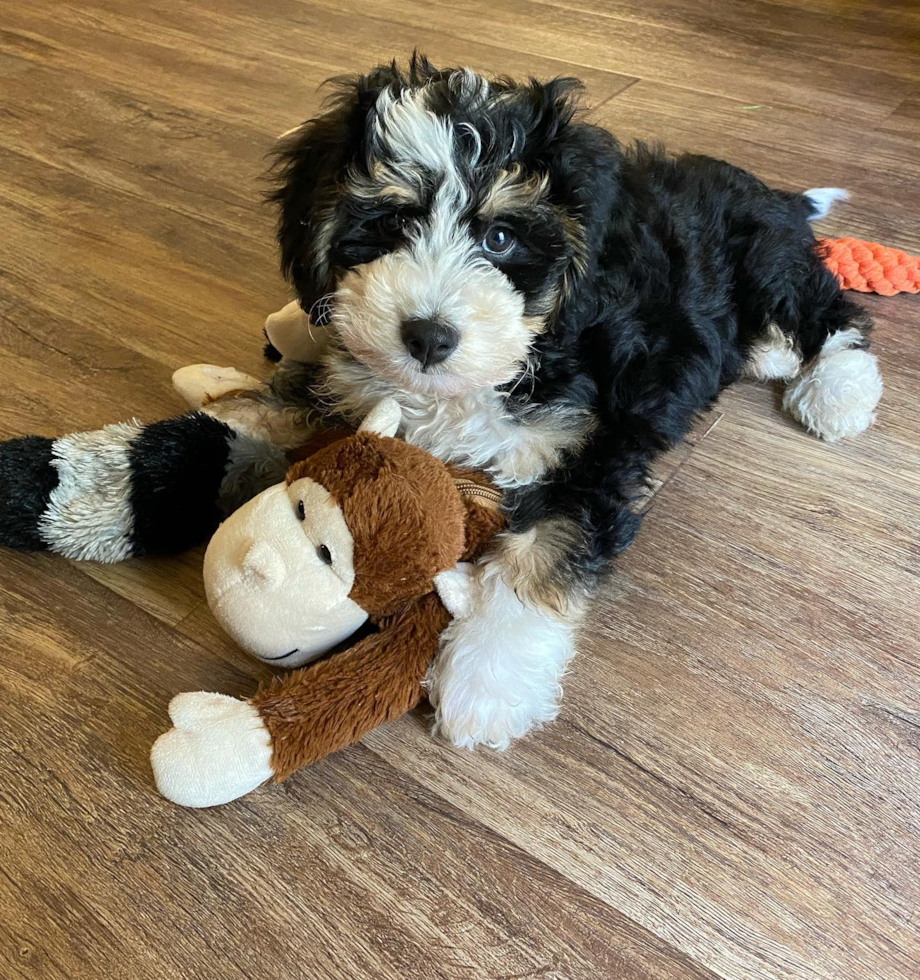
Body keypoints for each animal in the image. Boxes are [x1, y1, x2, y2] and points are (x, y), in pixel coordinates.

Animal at [250, 53, 876, 752]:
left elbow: (540, 554)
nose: (428, 338)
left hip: (768, 262)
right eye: (391, 222)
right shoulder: (356, 383)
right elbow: (287, 408)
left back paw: (837, 388)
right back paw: (765, 355)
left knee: (829, 309)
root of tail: (771, 195)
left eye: (499, 238)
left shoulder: (590, 448)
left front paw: (484, 684)